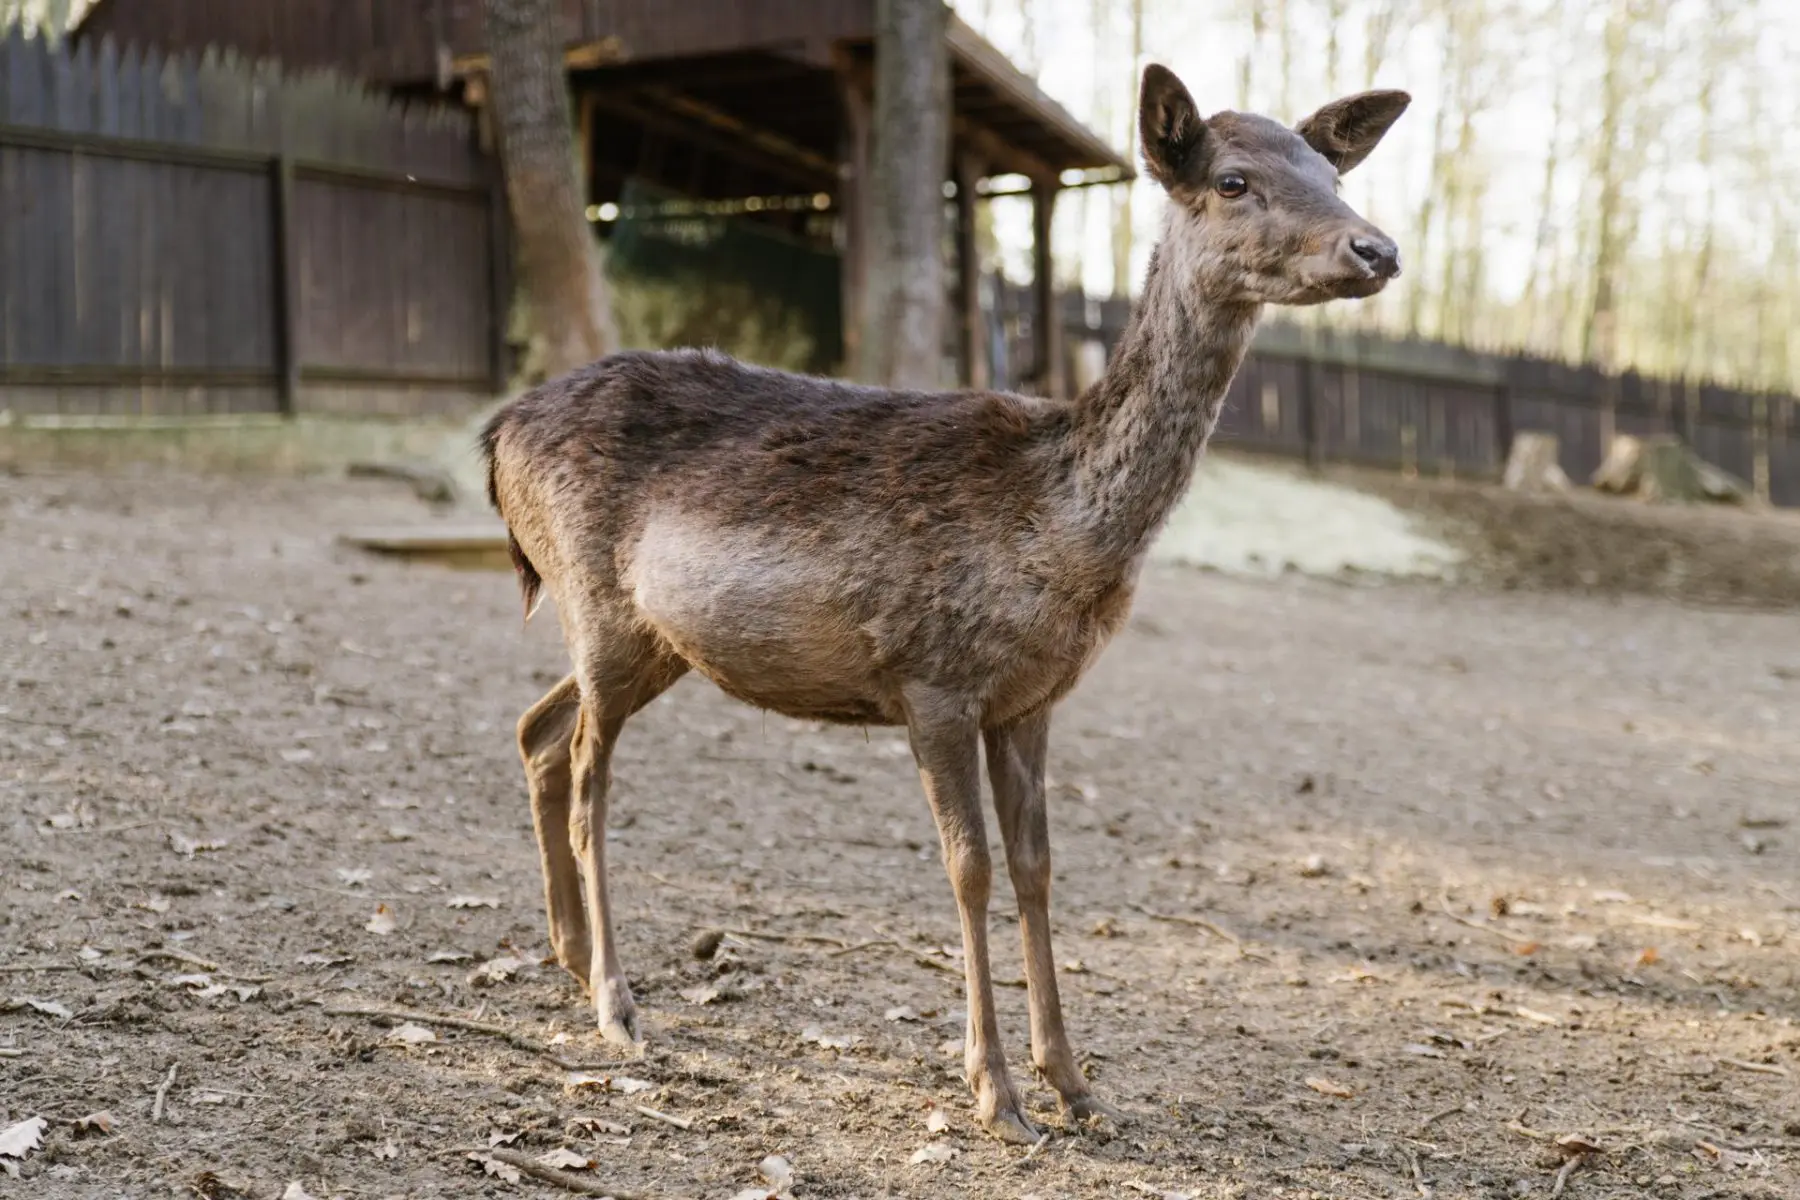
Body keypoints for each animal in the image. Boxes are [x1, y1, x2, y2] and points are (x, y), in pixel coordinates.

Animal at [479, 64, 1408, 1144]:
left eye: (1330, 172)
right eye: (1232, 180)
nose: (1376, 248)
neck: (1067, 535)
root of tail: (495, 437)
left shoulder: (1033, 699)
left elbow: (1038, 866)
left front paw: (1076, 1085)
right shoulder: (933, 680)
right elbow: (970, 867)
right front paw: (997, 1092)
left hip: (649, 639)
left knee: (538, 729)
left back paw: (569, 953)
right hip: (597, 599)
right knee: (591, 777)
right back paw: (618, 1004)